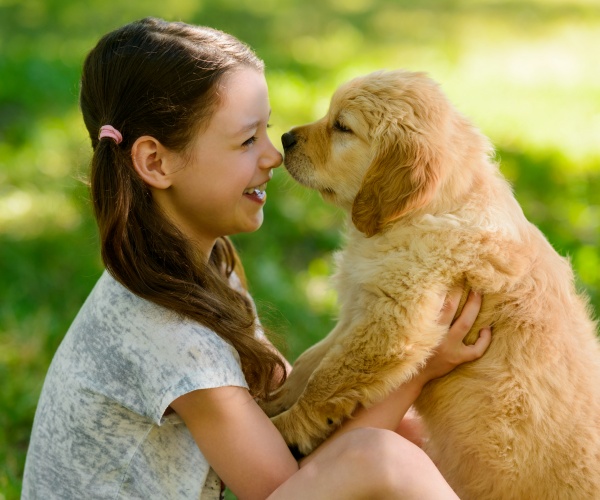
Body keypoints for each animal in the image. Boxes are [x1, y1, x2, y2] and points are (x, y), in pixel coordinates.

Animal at [264, 70, 600, 500]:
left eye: (342, 127)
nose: (285, 137)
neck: (430, 210)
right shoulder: (361, 305)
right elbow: (311, 362)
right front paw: (272, 402)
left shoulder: (392, 321)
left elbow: (326, 378)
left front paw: (289, 427)